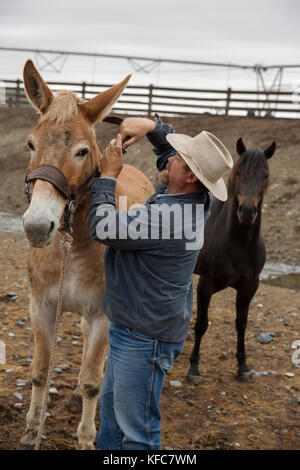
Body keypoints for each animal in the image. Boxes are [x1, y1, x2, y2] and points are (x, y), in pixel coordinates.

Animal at [188, 138, 276, 384]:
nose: (246, 211)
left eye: (265, 175)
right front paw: (194, 368)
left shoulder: (249, 287)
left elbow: (241, 323)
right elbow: (201, 324)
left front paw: (243, 366)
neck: (239, 245)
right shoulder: (205, 286)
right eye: (238, 172)